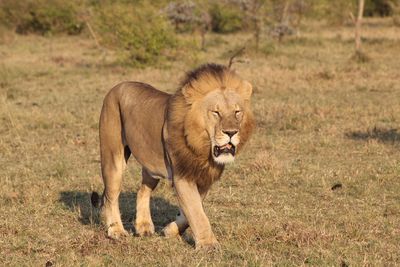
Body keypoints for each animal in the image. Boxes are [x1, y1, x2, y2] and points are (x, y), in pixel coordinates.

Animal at [92, 63, 255, 250]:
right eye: (216, 112)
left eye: (237, 112)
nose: (231, 132)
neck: (202, 148)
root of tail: (117, 86)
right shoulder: (182, 176)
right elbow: (197, 212)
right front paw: (209, 245)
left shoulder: (204, 178)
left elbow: (190, 212)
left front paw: (170, 230)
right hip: (113, 158)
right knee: (111, 196)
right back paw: (116, 231)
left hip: (151, 166)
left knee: (142, 191)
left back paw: (144, 227)